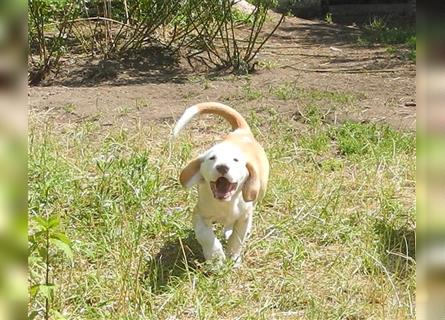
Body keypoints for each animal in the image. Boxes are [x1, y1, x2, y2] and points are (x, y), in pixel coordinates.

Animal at [173, 102, 268, 264]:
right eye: (212, 158)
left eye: (236, 160)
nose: (222, 167)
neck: (225, 203)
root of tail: (241, 130)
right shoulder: (199, 215)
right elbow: (206, 236)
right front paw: (215, 257)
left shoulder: (243, 217)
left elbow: (237, 238)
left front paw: (233, 258)